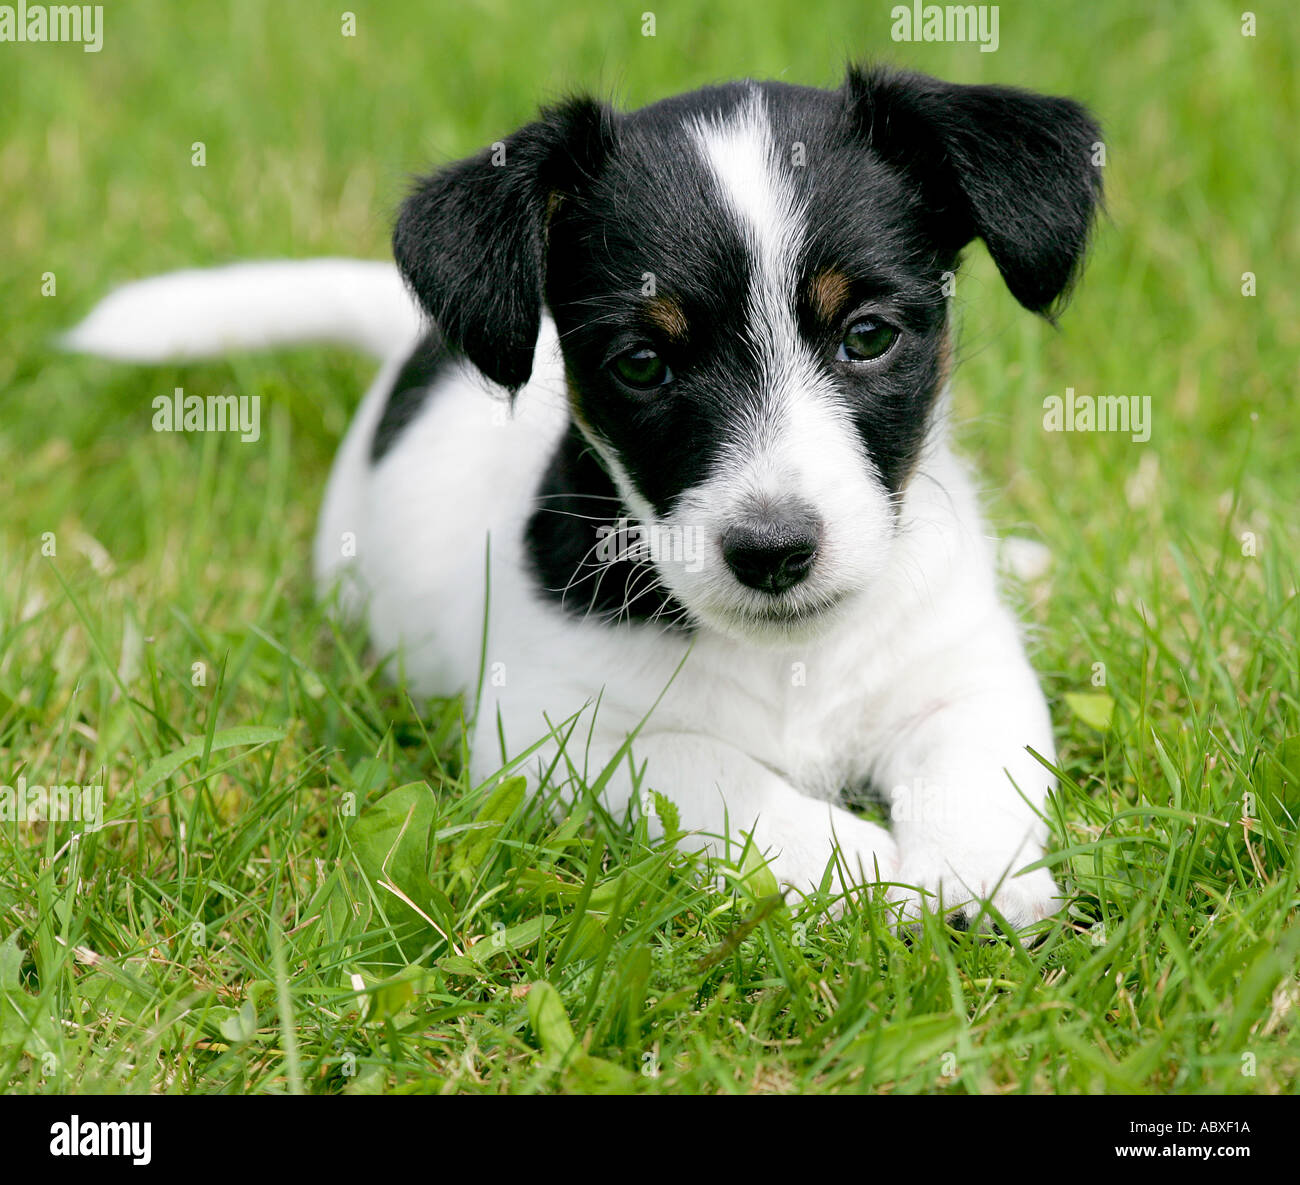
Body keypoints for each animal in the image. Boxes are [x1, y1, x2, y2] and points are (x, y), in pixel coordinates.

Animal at [68, 64, 1097, 935]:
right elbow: (719, 775)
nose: (772, 552)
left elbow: (973, 766)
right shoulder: (557, 734)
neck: (786, 660)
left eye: (871, 336)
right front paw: (871, 873)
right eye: (641, 363)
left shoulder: (964, 675)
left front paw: (975, 881)